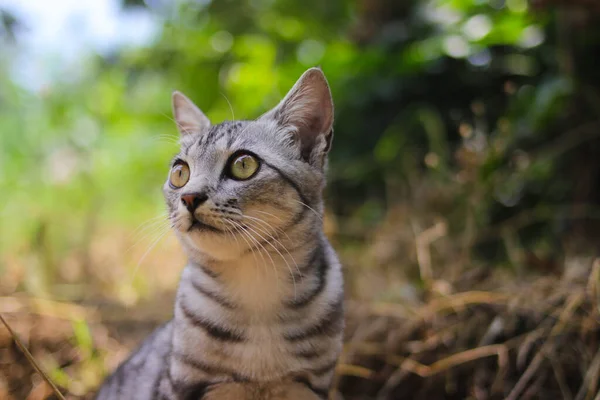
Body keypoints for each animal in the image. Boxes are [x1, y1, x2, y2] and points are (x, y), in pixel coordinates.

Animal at [96, 69, 344, 400]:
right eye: (179, 173)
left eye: (243, 164)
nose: (189, 197)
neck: (255, 287)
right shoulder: (186, 386)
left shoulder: (307, 385)